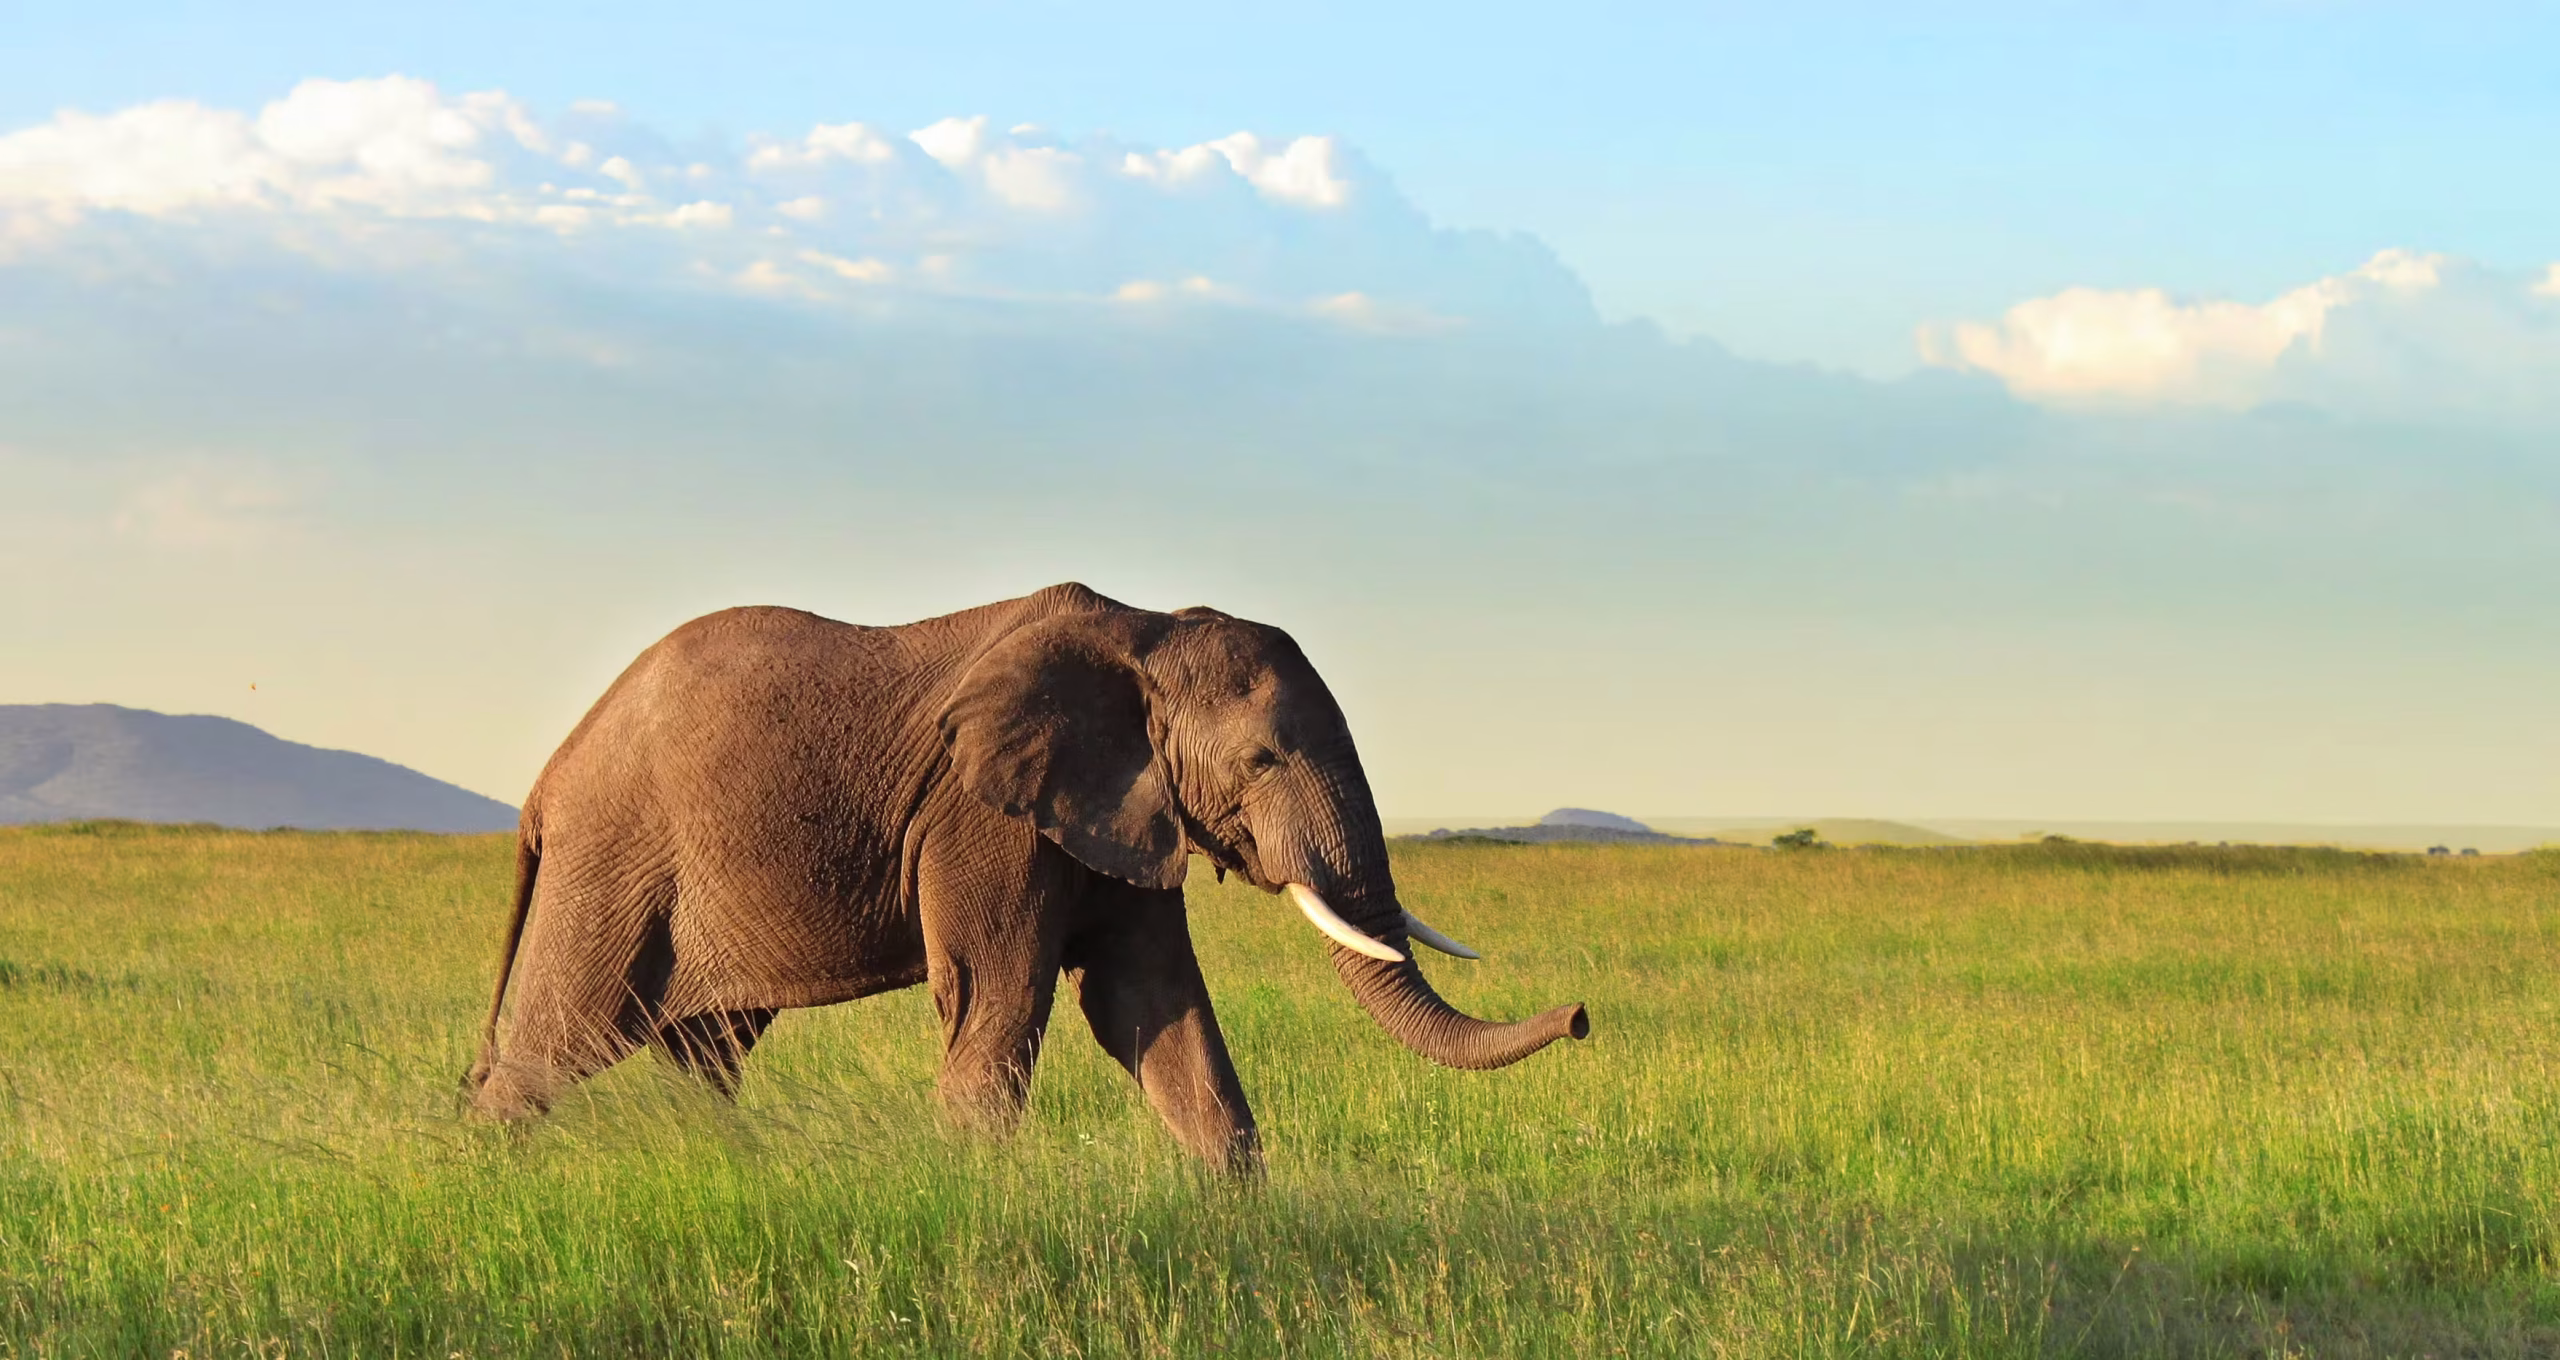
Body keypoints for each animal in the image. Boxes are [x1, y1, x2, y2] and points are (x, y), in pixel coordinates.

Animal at [462, 583, 1588, 1170]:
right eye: (1264, 759)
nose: (1579, 1016)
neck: (1145, 631)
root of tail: (545, 783)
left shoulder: (1124, 809)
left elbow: (1151, 1003)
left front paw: (1241, 1211)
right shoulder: (984, 818)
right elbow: (1001, 998)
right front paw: (971, 1192)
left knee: (705, 1053)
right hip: (613, 858)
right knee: (558, 1042)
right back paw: (491, 1177)